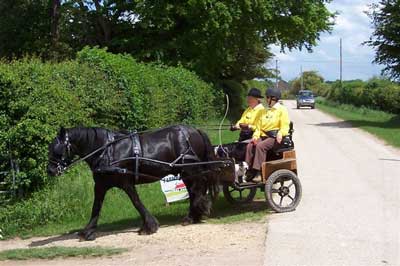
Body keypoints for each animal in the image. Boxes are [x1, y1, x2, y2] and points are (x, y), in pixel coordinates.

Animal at [48, 125, 233, 240]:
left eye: (57, 149)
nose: (50, 170)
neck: (107, 150)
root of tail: (194, 130)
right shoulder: (100, 185)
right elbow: (96, 207)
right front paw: (87, 231)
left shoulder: (126, 182)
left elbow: (136, 202)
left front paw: (149, 226)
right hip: (186, 171)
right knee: (195, 190)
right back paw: (195, 215)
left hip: (189, 170)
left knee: (197, 189)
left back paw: (193, 215)